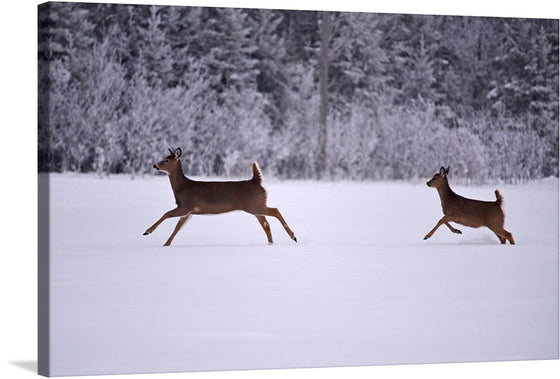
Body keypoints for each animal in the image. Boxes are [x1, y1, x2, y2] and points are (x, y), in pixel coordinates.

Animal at [144, 147, 298, 248]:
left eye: (166, 160)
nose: (155, 165)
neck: (181, 187)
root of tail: (256, 181)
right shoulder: (189, 211)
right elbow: (177, 228)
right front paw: (166, 244)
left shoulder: (185, 205)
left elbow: (166, 214)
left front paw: (147, 231)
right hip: (255, 206)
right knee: (266, 224)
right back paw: (271, 244)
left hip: (255, 205)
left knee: (275, 211)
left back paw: (293, 236)